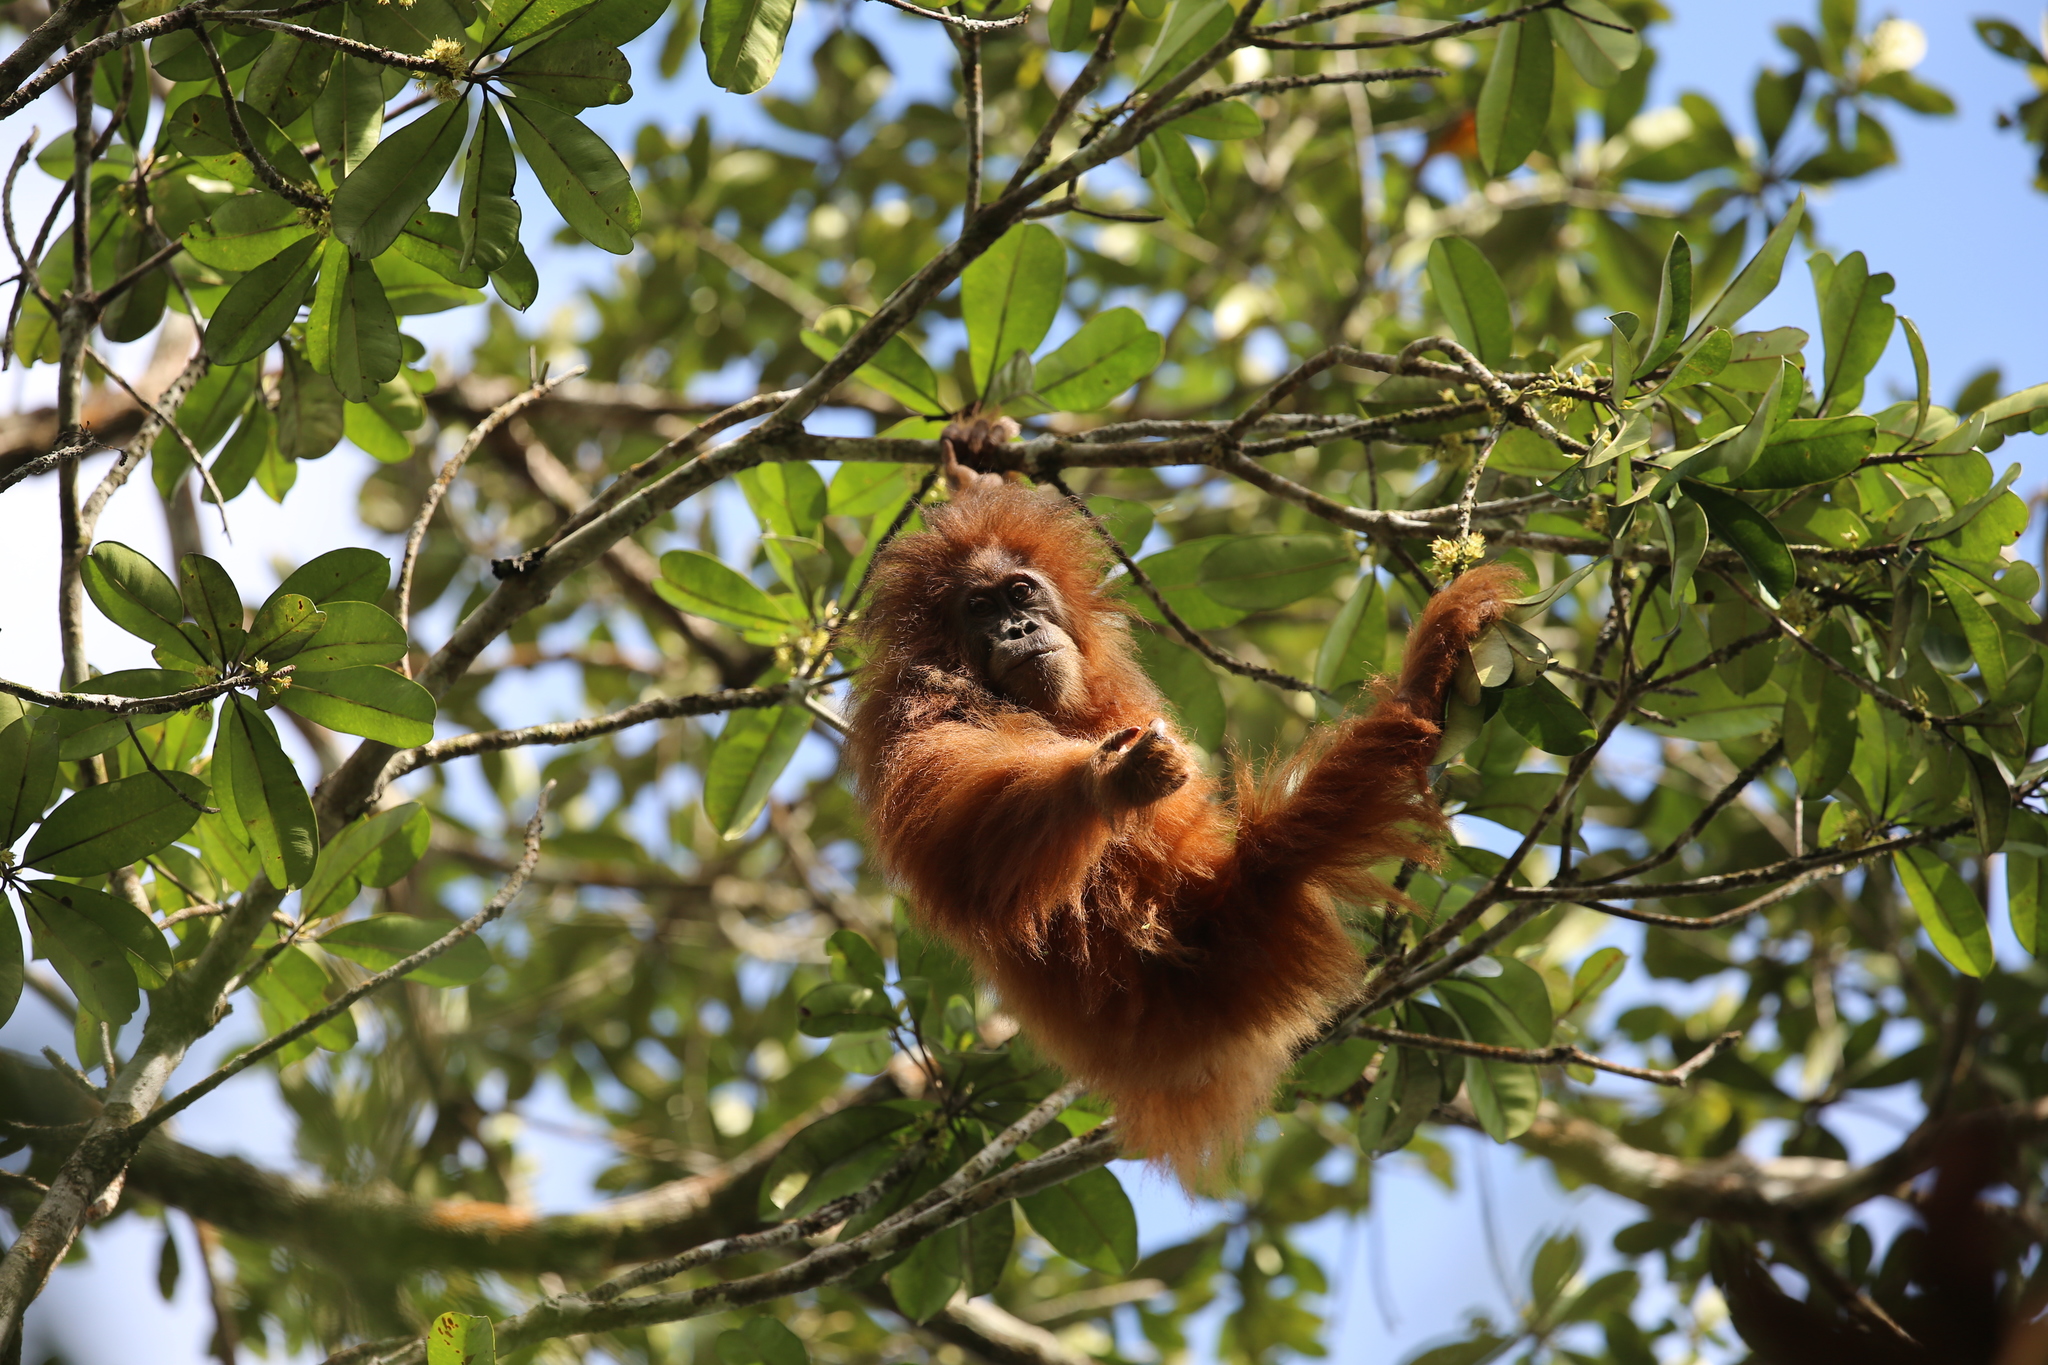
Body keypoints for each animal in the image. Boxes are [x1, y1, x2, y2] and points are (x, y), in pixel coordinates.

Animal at [846, 432, 1523, 1187]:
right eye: (982, 611)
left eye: (1020, 593)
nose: (1018, 626)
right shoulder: (920, 714)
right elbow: (964, 850)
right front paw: (1107, 782)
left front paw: (972, 457)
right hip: (1222, 944)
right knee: (1279, 851)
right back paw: (1420, 691)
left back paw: (1428, 681)